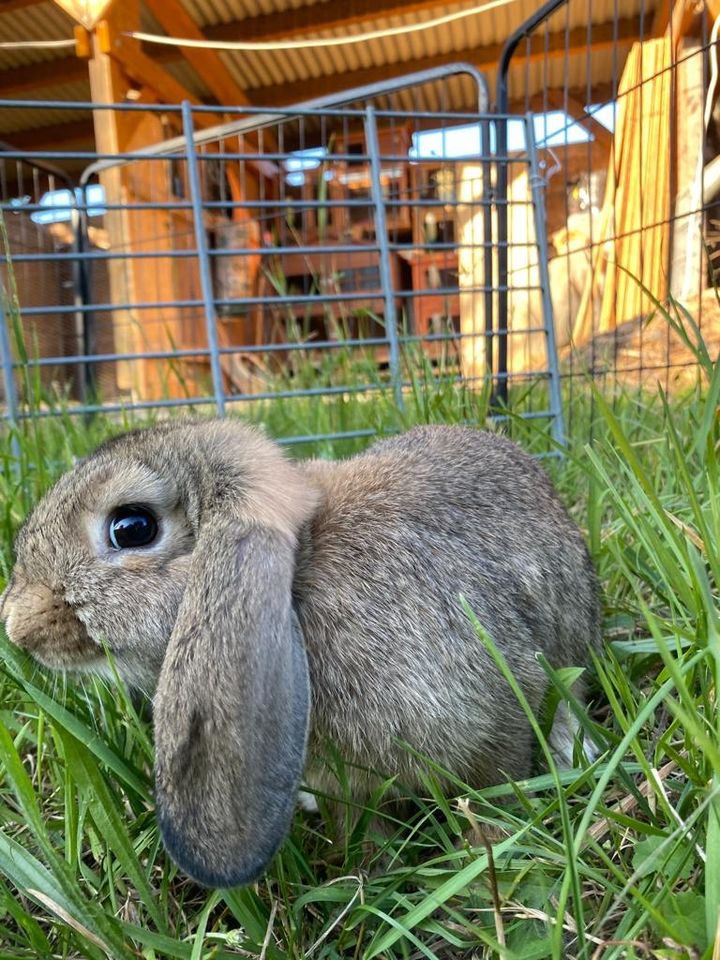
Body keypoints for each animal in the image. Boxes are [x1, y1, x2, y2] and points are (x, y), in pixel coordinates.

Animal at [0, 424, 600, 888]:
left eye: (132, 528)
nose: (17, 627)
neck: (298, 577)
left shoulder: (494, 710)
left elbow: (495, 786)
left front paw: (486, 854)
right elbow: (358, 825)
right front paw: (366, 870)